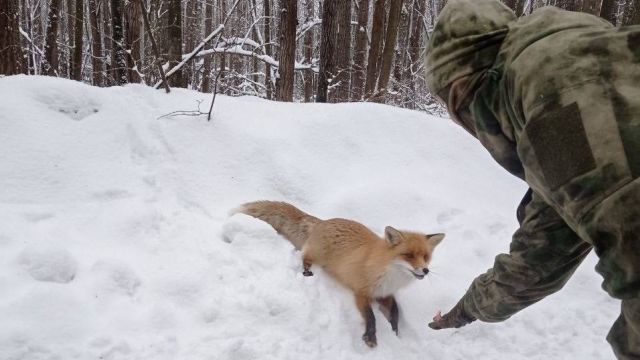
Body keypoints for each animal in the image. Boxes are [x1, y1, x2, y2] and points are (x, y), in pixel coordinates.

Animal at [231, 201, 444, 348]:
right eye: (408, 255)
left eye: (425, 257)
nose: (425, 270)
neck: (389, 274)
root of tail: (323, 221)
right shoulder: (361, 292)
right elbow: (371, 316)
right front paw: (371, 337)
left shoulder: (385, 293)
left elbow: (396, 312)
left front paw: (395, 331)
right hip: (317, 255)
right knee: (304, 256)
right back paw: (306, 270)